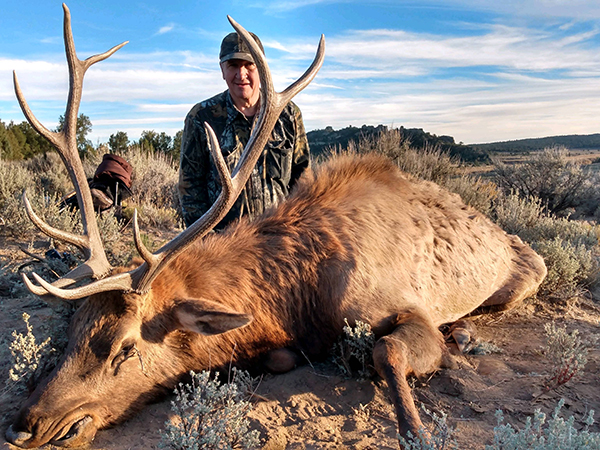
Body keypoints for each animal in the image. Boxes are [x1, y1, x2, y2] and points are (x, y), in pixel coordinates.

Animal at [5, 4, 548, 450]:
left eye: (124, 347)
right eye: (73, 330)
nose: (24, 425)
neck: (302, 296)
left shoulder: (402, 304)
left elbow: (387, 352)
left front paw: (418, 425)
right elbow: (279, 358)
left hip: (524, 277)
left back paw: (465, 332)